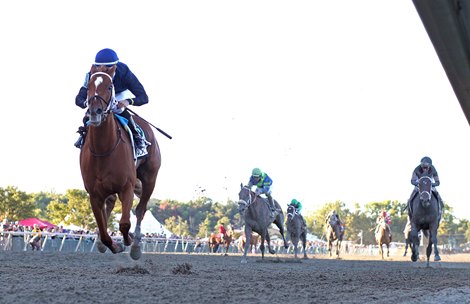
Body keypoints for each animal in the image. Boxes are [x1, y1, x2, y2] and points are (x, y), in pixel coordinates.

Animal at [79, 65, 162, 260]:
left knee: (140, 210)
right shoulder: (94, 194)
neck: (104, 149)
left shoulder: (127, 187)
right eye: (88, 86)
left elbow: (125, 223)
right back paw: (102, 244)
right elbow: (103, 229)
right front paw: (112, 245)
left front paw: (128, 241)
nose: (95, 112)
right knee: (109, 204)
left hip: (150, 178)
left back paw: (136, 246)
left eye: (110, 87)